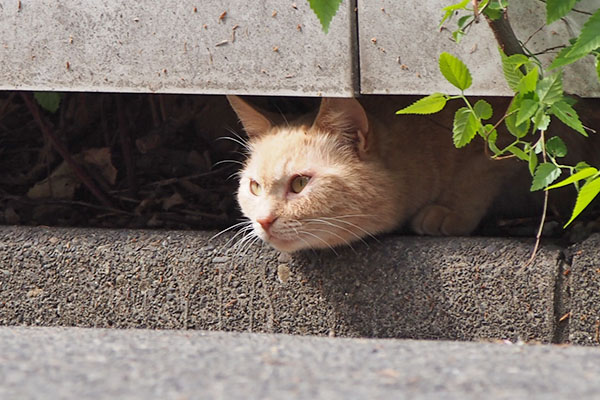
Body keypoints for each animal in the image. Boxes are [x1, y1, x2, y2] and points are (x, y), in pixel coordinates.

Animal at [227, 95, 596, 252]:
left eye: (300, 183)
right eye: (255, 187)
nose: (263, 221)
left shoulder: (511, 134)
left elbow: (478, 172)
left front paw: (448, 211)